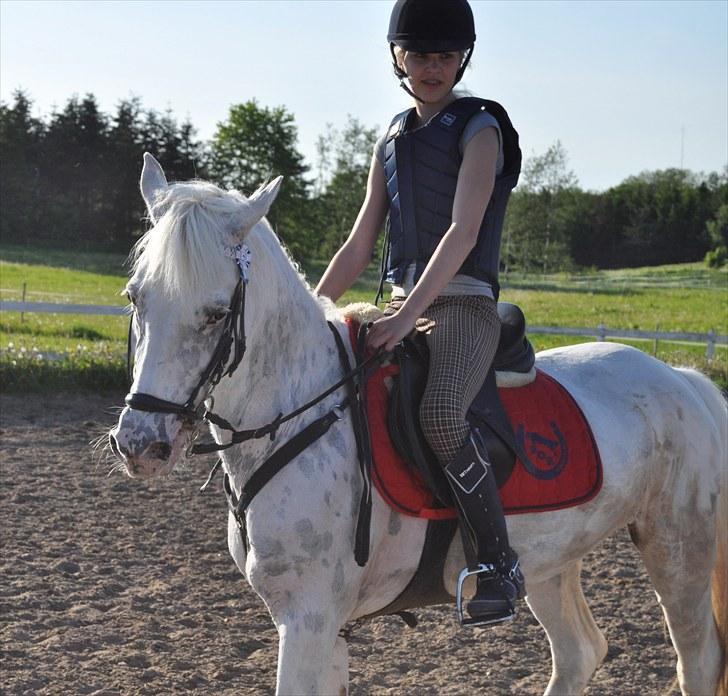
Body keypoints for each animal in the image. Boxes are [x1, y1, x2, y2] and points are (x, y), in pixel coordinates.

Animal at [109, 154, 728, 696]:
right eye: (135, 298)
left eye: (216, 313)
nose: (141, 444)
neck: (298, 414)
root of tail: (681, 378)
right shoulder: (325, 627)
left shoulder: (307, 619)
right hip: (552, 559)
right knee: (580, 653)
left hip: (677, 548)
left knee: (697, 662)